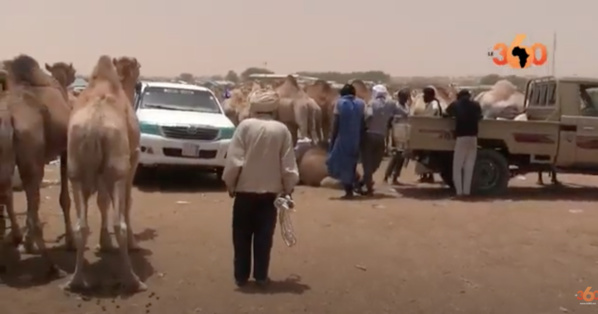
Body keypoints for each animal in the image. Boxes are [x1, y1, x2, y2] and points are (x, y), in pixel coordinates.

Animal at [1, 54, 74, 258]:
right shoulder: (63, 151)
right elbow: (63, 198)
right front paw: (70, 241)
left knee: (9, 191)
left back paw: (18, 237)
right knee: (29, 191)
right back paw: (28, 240)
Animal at [61, 55, 146, 292]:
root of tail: (94, 127)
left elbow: (102, 201)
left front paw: (104, 243)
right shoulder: (133, 159)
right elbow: (127, 201)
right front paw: (133, 244)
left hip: (76, 171)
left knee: (82, 226)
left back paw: (75, 281)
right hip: (117, 169)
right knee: (120, 224)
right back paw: (133, 280)